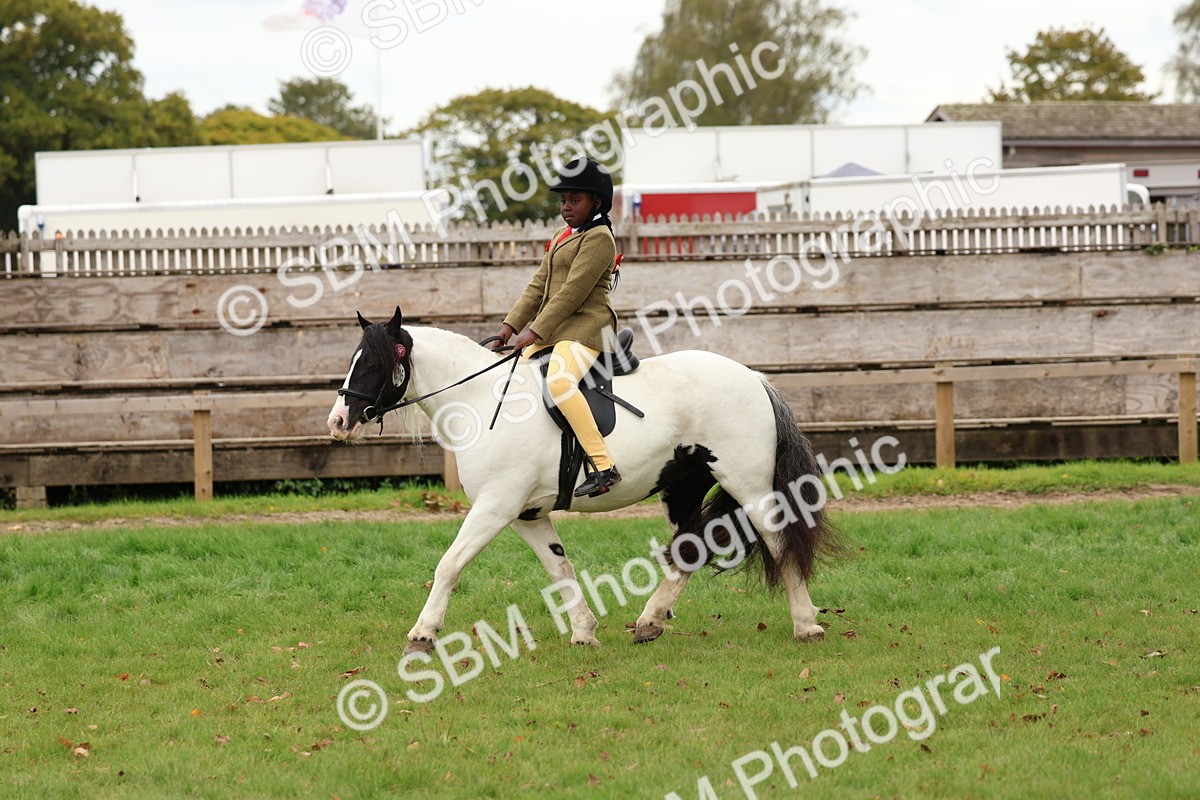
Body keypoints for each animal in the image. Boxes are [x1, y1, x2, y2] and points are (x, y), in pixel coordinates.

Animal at [327, 307, 841, 655]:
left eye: (371, 364)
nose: (337, 422)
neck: (480, 399)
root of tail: (753, 377)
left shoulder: (495, 506)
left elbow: (449, 565)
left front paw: (422, 634)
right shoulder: (527, 515)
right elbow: (561, 571)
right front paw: (584, 632)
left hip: (747, 484)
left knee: (778, 541)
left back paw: (806, 624)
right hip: (683, 484)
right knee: (690, 547)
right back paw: (650, 622)